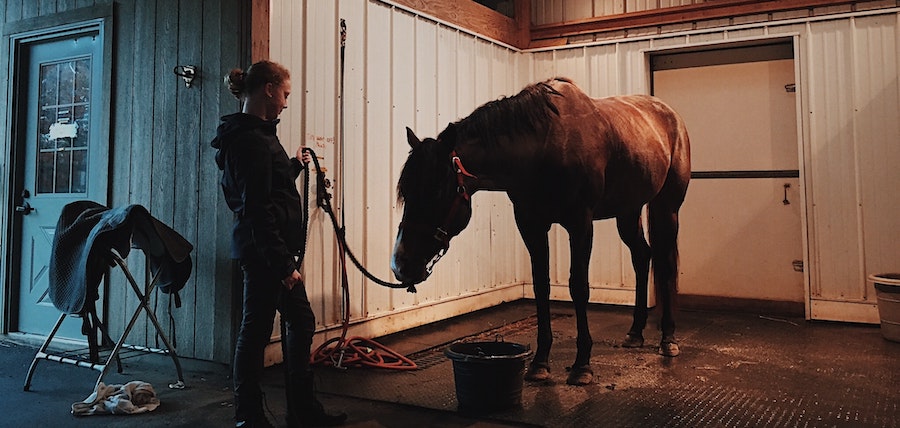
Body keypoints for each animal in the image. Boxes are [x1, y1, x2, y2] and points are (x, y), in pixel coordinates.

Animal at [390, 77, 690, 385]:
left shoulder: (580, 223)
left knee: (666, 264)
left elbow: (578, 287)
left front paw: (582, 365)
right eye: (406, 192)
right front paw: (540, 363)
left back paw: (668, 339)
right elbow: (540, 286)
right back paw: (635, 332)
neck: (544, 148)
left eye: (437, 191)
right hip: (628, 211)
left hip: (666, 207)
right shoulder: (530, 224)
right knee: (642, 257)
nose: (400, 264)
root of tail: (670, 116)